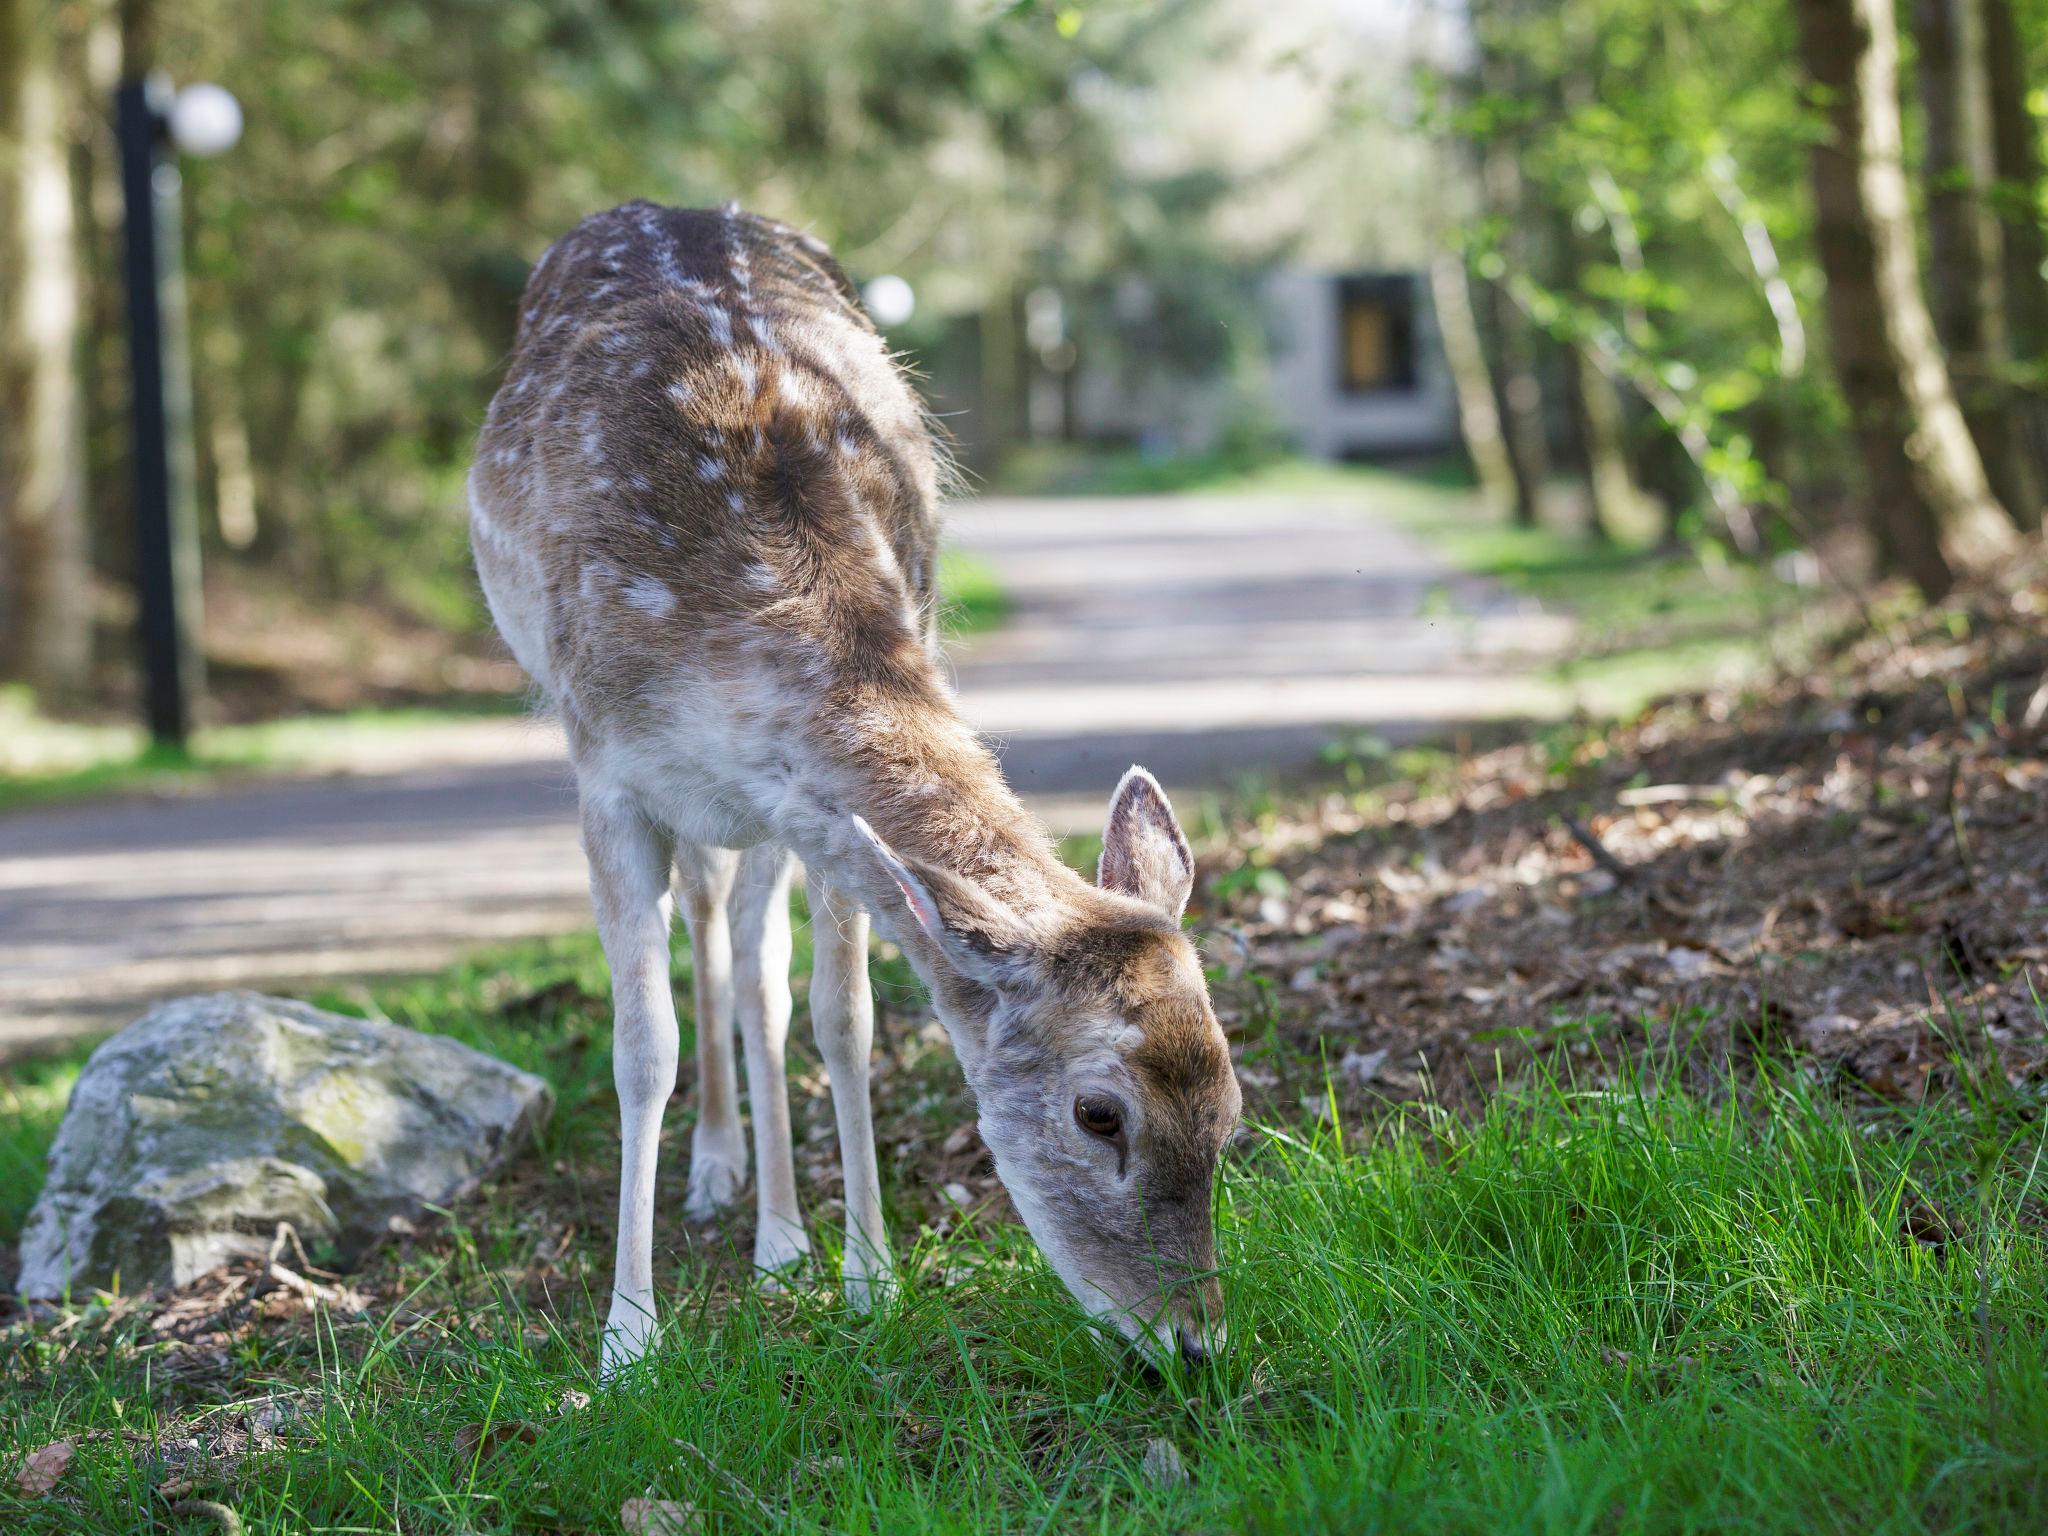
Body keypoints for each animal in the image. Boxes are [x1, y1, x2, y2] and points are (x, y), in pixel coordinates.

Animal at [471, 201, 1236, 1384]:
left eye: (1231, 1104)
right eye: (1099, 1115)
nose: (1192, 1343)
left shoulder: (816, 814)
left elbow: (842, 1015)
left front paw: (866, 1278)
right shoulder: (607, 775)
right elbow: (642, 1048)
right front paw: (626, 1343)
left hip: (770, 820)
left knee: (754, 966)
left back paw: (778, 1233)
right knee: (707, 927)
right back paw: (715, 1172)